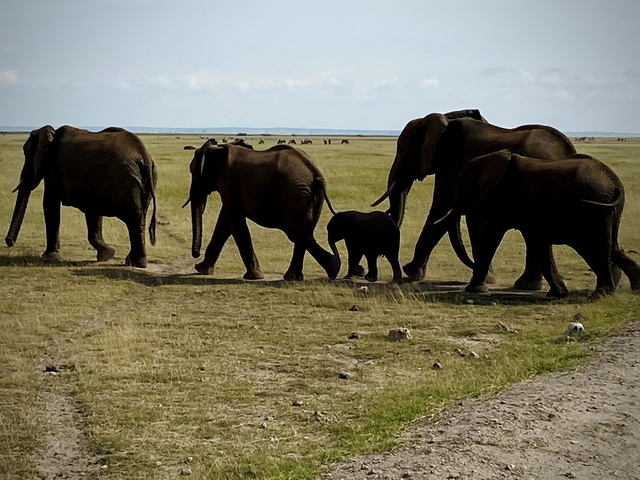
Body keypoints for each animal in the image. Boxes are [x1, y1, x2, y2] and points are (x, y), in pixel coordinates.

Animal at [5, 125, 157, 267]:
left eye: (26, 154)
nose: (9, 242)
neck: (51, 134)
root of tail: (144, 156)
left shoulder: (53, 167)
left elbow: (50, 203)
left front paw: (50, 257)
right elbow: (93, 212)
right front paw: (108, 254)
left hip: (125, 180)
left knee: (133, 217)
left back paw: (135, 263)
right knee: (139, 217)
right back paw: (134, 262)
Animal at [185, 139, 341, 281]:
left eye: (192, 171)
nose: (196, 254)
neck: (217, 150)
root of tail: (316, 174)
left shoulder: (228, 182)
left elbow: (233, 220)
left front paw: (253, 277)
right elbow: (224, 223)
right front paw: (201, 270)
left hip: (295, 194)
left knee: (296, 231)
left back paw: (333, 268)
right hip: (310, 196)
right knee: (304, 231)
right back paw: (295, 277)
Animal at [372, 109, 577, 288]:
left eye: (402, 150)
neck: (443, 120)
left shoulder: (451, 162)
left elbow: (442, 208)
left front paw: (411, 273)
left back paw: (526, 285)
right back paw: (528, 286)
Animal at [433, 150, 640, 297]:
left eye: (461, 187)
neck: (492, 160)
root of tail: (616, 183)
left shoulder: (503, 200)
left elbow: (493, 238)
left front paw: (472, 289)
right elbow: (539, 244)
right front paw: (558, 294)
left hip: (597, 208)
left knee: (600, 246)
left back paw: (600, 295)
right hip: (607, 211)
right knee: (610, 246)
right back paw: (634, 289)